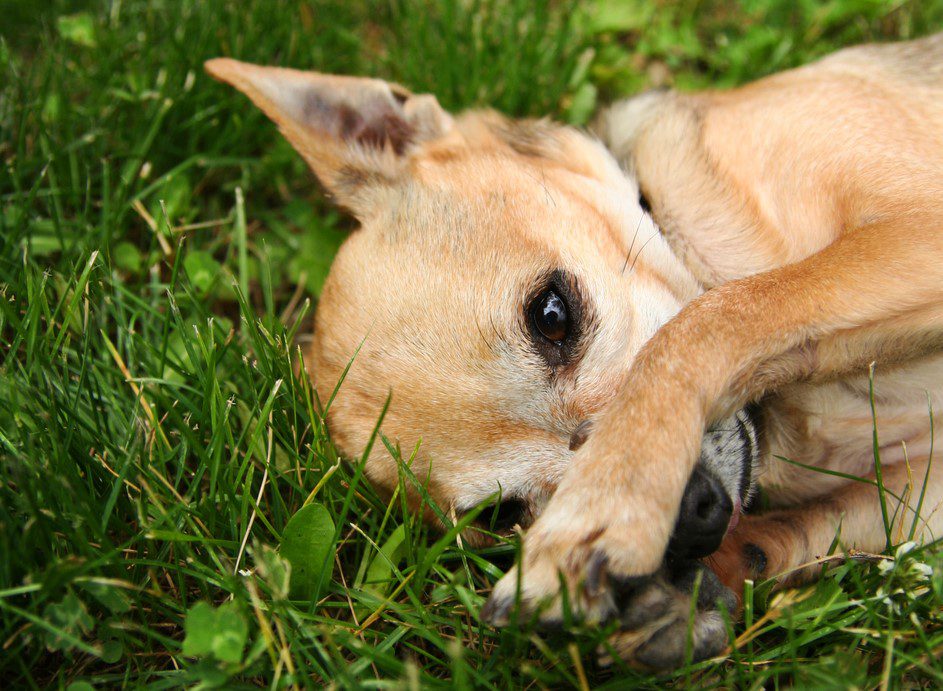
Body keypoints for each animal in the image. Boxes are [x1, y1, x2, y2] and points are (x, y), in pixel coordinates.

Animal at [206, 31, 943, 664]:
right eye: (502, 515)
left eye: (551, 314)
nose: (689, 519)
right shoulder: (914, 495)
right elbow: (781, 538)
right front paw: (669, 600)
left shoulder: (917, 233)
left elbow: (711, 319)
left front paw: (611, 502)